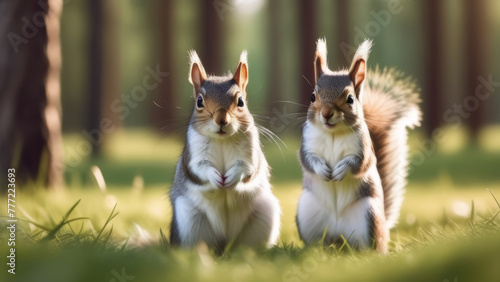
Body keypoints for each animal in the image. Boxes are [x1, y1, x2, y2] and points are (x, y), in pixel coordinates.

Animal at [169, 50, 282, 251]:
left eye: (241, 101)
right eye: (199, 101)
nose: (221, 120)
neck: (222, 140)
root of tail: (225, 243)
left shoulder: (250, 153)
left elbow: (248, 168)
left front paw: (232, 177)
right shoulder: (193, 155)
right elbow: (199, 168)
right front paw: (214, 176)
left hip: (264, 214)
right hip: (189, 220)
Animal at [294, 38, 420, 252]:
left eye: (350, 99)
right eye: (312, 96)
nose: (326, 113)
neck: (333, 133)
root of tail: (338, 235)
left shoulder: (364, 149)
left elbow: (360, 164)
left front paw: (340, 170)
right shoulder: (307, 145)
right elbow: (308, 161)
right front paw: (322, 169)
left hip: (368, 216)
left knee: (368, 246)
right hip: (306, 213)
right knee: (318, 242)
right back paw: (316, 249)